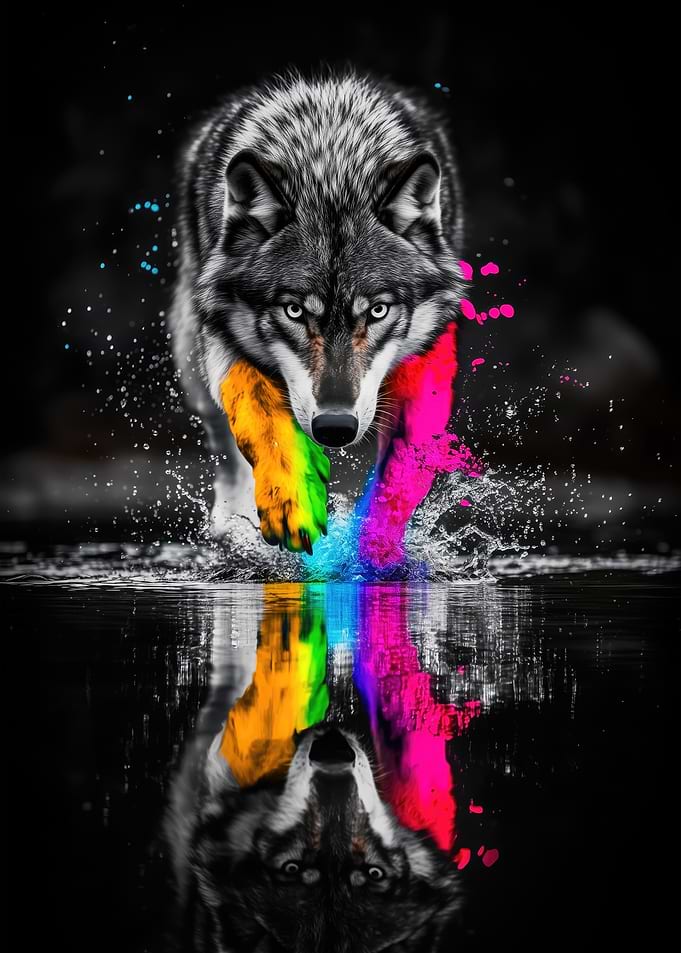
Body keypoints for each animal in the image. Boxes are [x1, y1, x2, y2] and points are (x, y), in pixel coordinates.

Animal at [169, 69, 466, 553]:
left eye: (378, 310)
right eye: (293, 311)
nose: (335, 427)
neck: (330, 166)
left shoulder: (419, 359)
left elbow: (400, 458)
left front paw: (377, 540)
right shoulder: (224, 338)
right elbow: (260, 419)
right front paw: (289, 503)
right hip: (192, 356)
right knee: (225, 443)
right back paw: (232, 522)